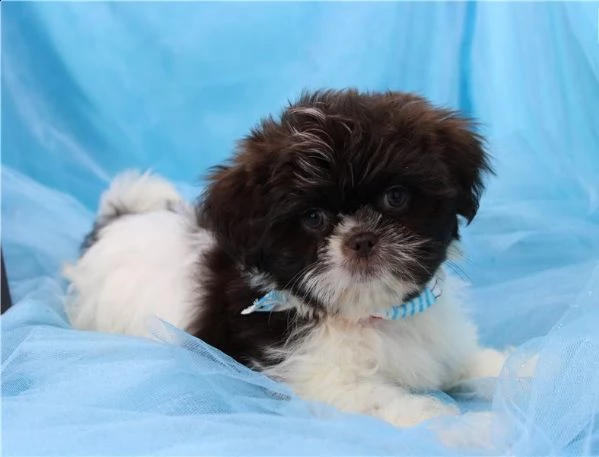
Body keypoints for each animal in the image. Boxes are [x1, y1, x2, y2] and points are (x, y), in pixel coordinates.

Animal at [64, 90, 506, 428]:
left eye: (395, 197)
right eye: (313, 218)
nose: (361, 239)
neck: (372, 314)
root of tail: (118, 218)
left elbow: (467, 361)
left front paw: (514, 368)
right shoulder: (321, 379)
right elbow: (391, 402)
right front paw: (466, 428)